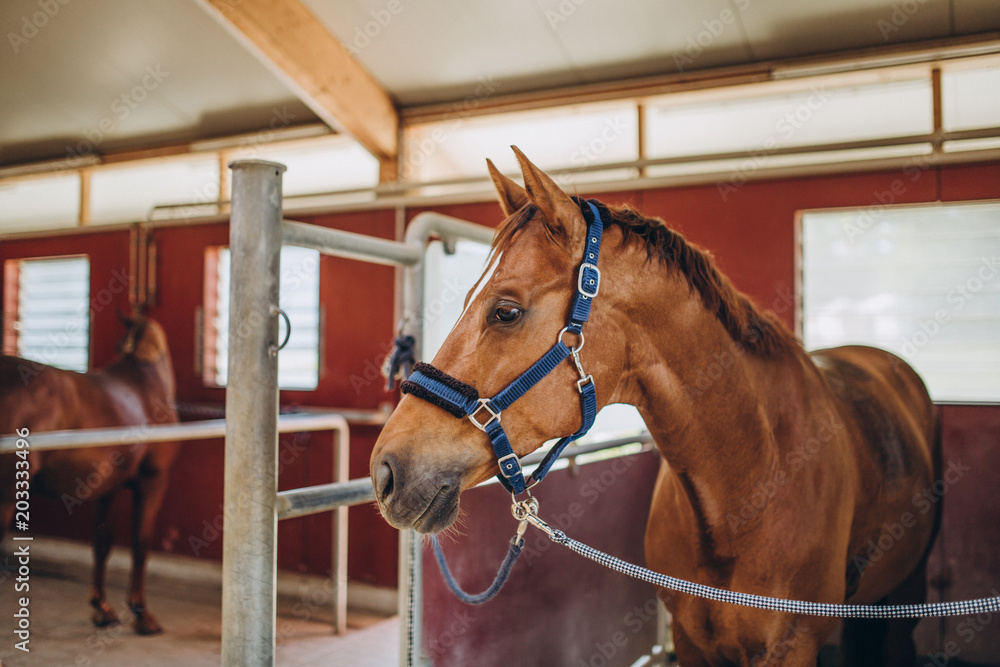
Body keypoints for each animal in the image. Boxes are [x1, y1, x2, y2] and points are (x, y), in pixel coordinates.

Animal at [1, 312, 179, 635]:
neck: (146, 383)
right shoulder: (152, 482)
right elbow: (141, 543)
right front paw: (142, 615)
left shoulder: (108, 487)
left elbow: (102, 542)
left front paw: (102, 609)